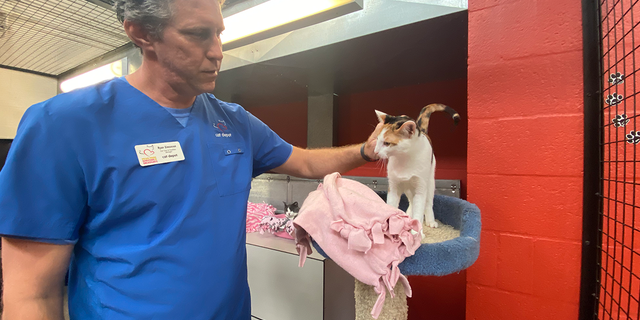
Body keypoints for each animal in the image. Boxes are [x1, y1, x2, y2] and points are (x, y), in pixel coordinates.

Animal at [376, 104, 460, 236]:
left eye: (387, 143)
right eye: (377, 140)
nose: (375, 152)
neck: (404, 159)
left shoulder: (420, 188)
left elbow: (419, 208)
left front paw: (416, 233)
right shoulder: (393, 187)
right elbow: (392, 205)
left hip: (429, 182)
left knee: (428, 203)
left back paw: (430, 221)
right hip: (409, 188)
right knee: (411, 202)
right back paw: (408, 215)